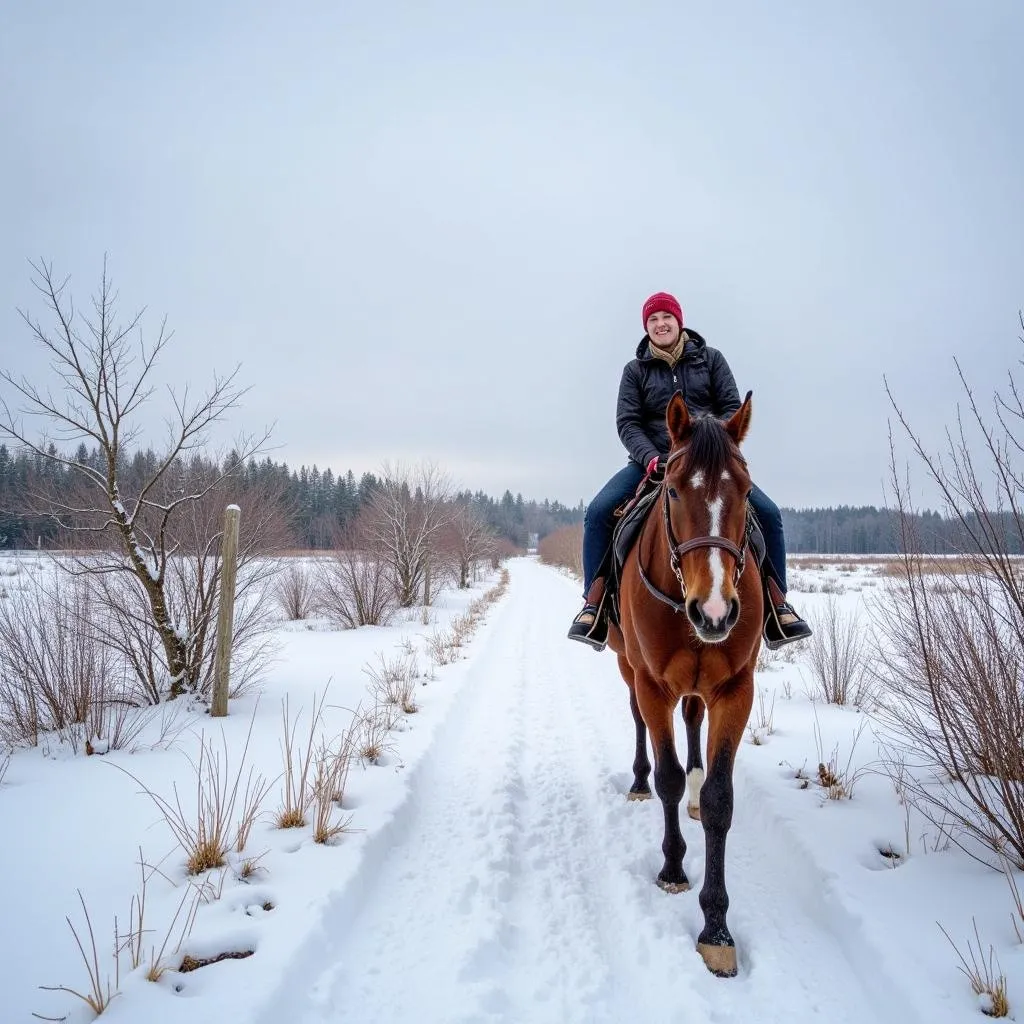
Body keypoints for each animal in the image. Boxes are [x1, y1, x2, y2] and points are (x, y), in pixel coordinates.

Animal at [602, 389, 765, 974]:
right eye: (672, 489)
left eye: (746, 491)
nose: (714, 611)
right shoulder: (652, 683)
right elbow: (667, 776)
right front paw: (673, 869)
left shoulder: (736, 689)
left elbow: (719, 799)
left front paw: (716, 927)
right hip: (628, 668)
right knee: (638, 723)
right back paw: (637, 779)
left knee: (693, 720)